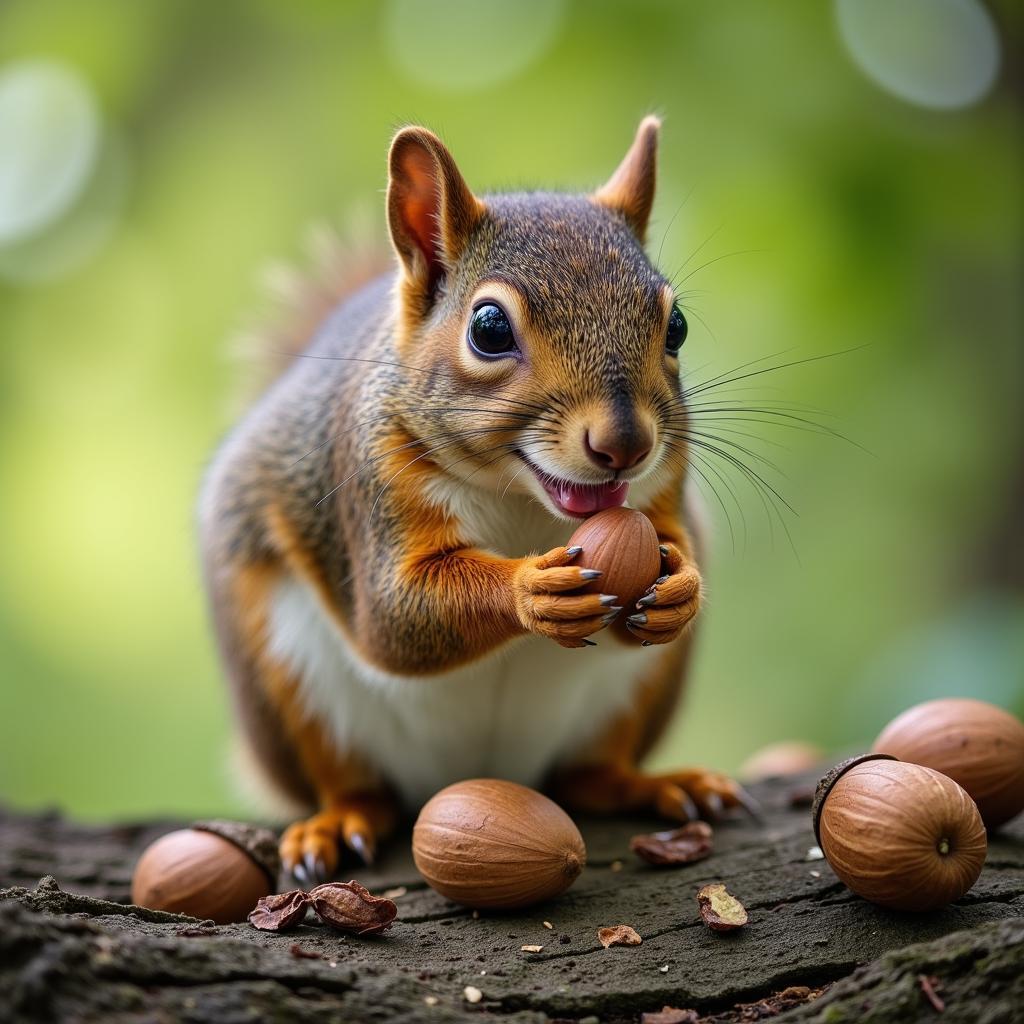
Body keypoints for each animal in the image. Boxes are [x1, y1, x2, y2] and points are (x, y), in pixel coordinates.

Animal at [201, 119, 753, 884]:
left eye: (677, 328)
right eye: (488, 329)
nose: (626, 443)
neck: (522, 497)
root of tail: (479, 773)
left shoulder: (666, 483)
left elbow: (666, 556)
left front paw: (681, 586)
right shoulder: (371, 482)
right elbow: (396, 617)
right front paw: (529, 591)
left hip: (637, 695)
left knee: (590, 776)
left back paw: (656, 784)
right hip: (282, 683)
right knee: (353, 783)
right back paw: (338, 821)